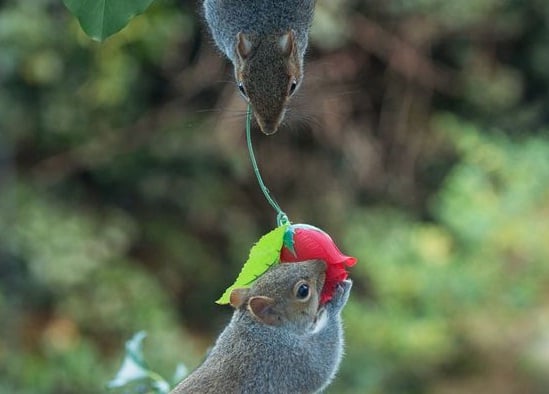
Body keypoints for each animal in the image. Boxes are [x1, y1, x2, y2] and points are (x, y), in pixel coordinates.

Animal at [171, 260, 352, 392]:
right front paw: (337, 299)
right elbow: (322, 362)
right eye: (303, 290)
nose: (322, 263)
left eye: (274, 266)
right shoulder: (285, 358)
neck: (257, 327)